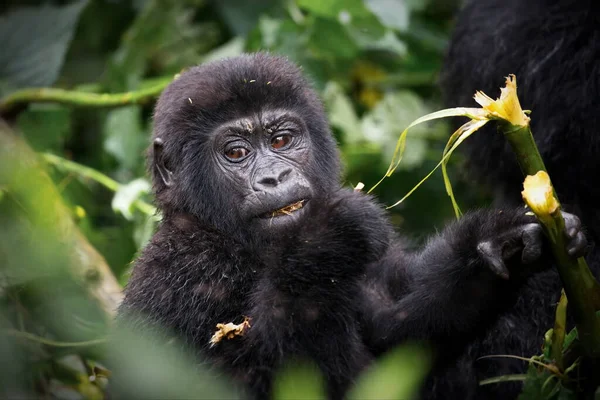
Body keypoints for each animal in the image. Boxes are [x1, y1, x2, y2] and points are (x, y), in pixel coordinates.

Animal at [117, 54, 584, 400]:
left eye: (282, 140)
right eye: (236, 152)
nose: (274, 178)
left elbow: (395, 334)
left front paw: (500, 243)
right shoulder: (186, 272)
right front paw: (323, 245)